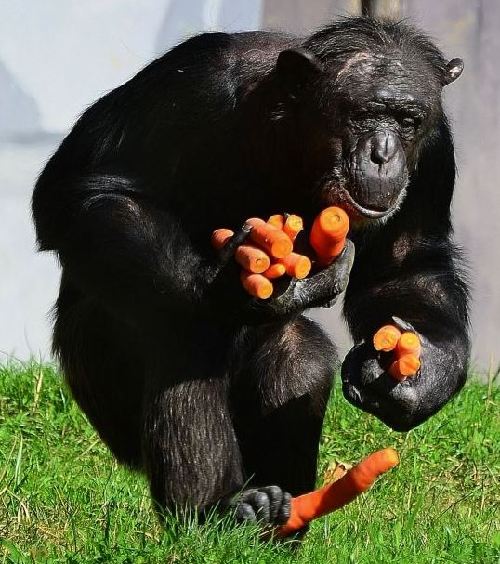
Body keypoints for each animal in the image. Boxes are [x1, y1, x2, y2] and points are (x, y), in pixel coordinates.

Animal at [31, 17, 468, 528]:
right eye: (362, 114)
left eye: (408, 120)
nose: (384, 152)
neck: (299, 141)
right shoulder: (194, 79)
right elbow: (85, 189)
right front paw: (223, 287)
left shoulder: (436, 148)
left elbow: (407, 267)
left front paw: (422, 378)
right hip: (99, 387)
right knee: (185, 336)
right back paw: (219, 509)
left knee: (294, 354)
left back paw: (275, 515)